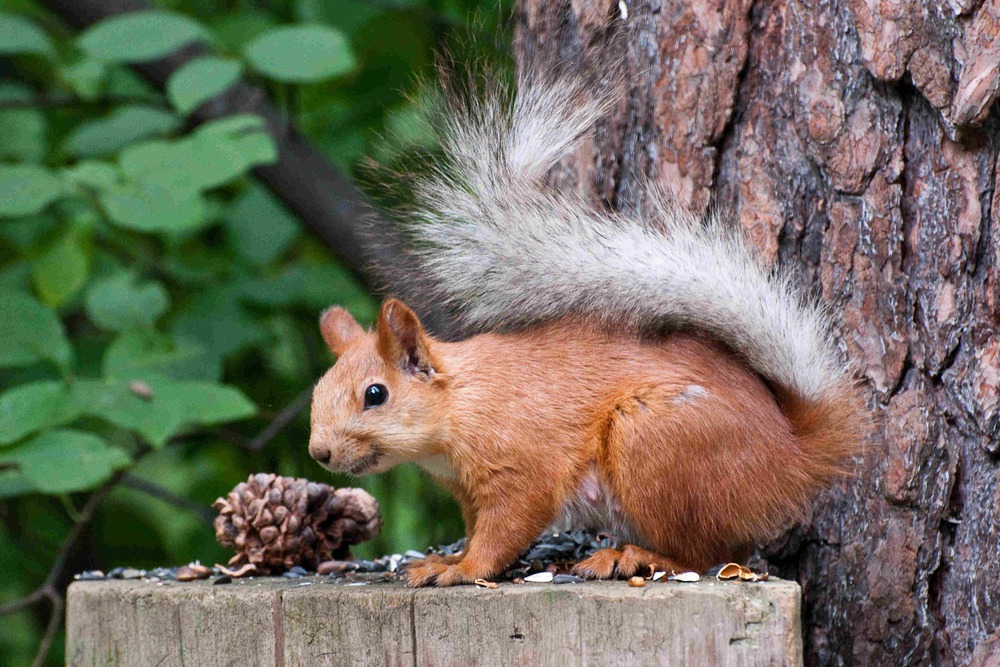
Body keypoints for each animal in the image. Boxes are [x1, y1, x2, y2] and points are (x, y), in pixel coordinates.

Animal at [306, 70, 868, 588]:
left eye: (375, 394)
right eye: (317, 390)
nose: (319, 453)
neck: (461, 403)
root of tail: (791, 456)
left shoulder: (521, 468)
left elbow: (504, 531)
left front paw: (463, 569)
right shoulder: (467, 493)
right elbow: (473, 529)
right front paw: (445, 559)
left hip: (653, 440)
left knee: (705, 552)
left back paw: (633, 557)